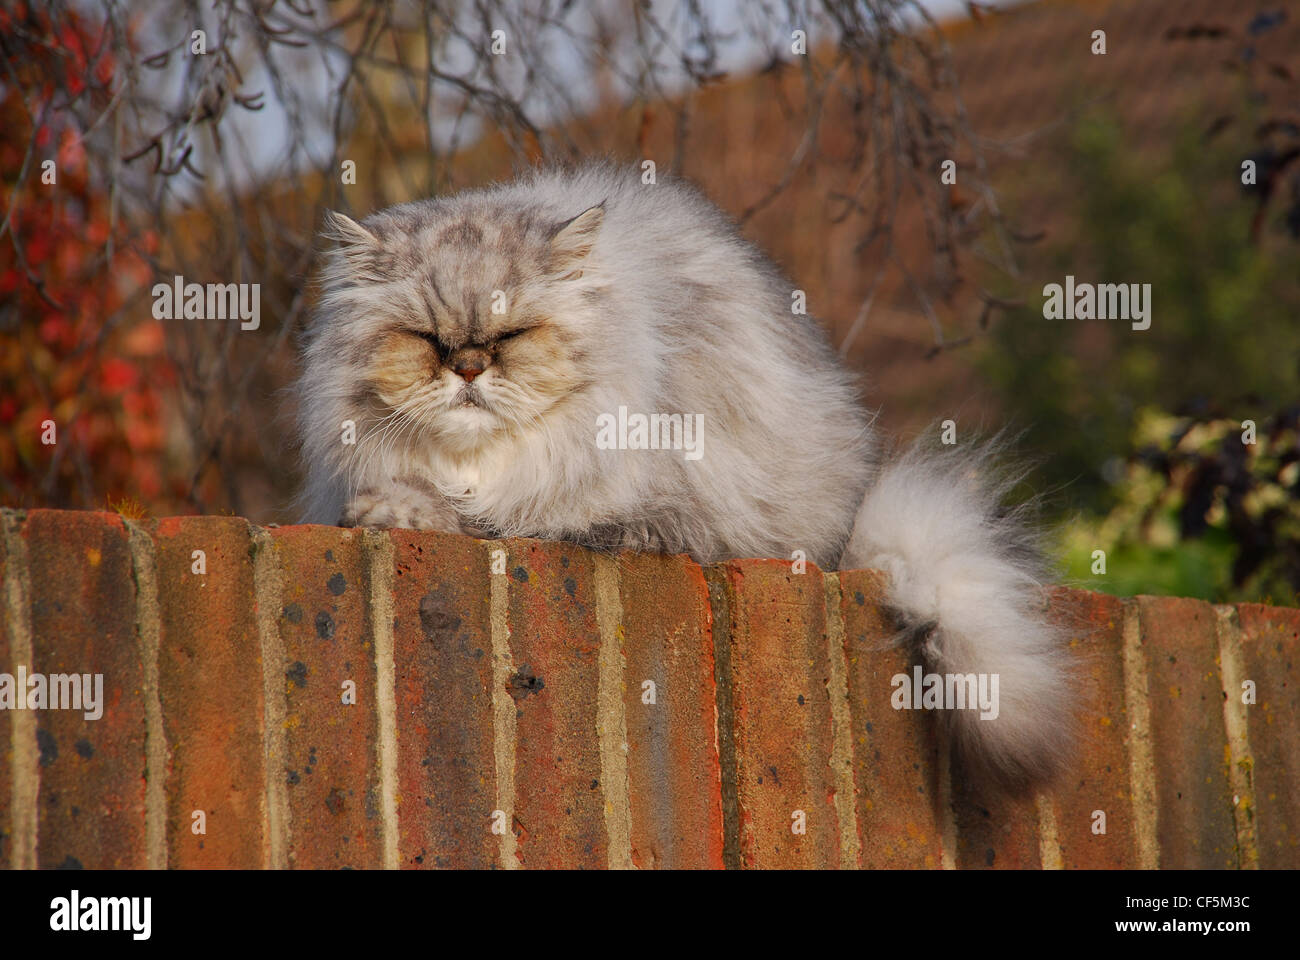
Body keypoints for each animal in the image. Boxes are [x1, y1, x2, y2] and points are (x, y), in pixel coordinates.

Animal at [299, 158, 1071, 790]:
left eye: (512, 335)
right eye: (425, 342)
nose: (465, 369)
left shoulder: (585, 513)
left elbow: (477, 515)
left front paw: (400, 510)